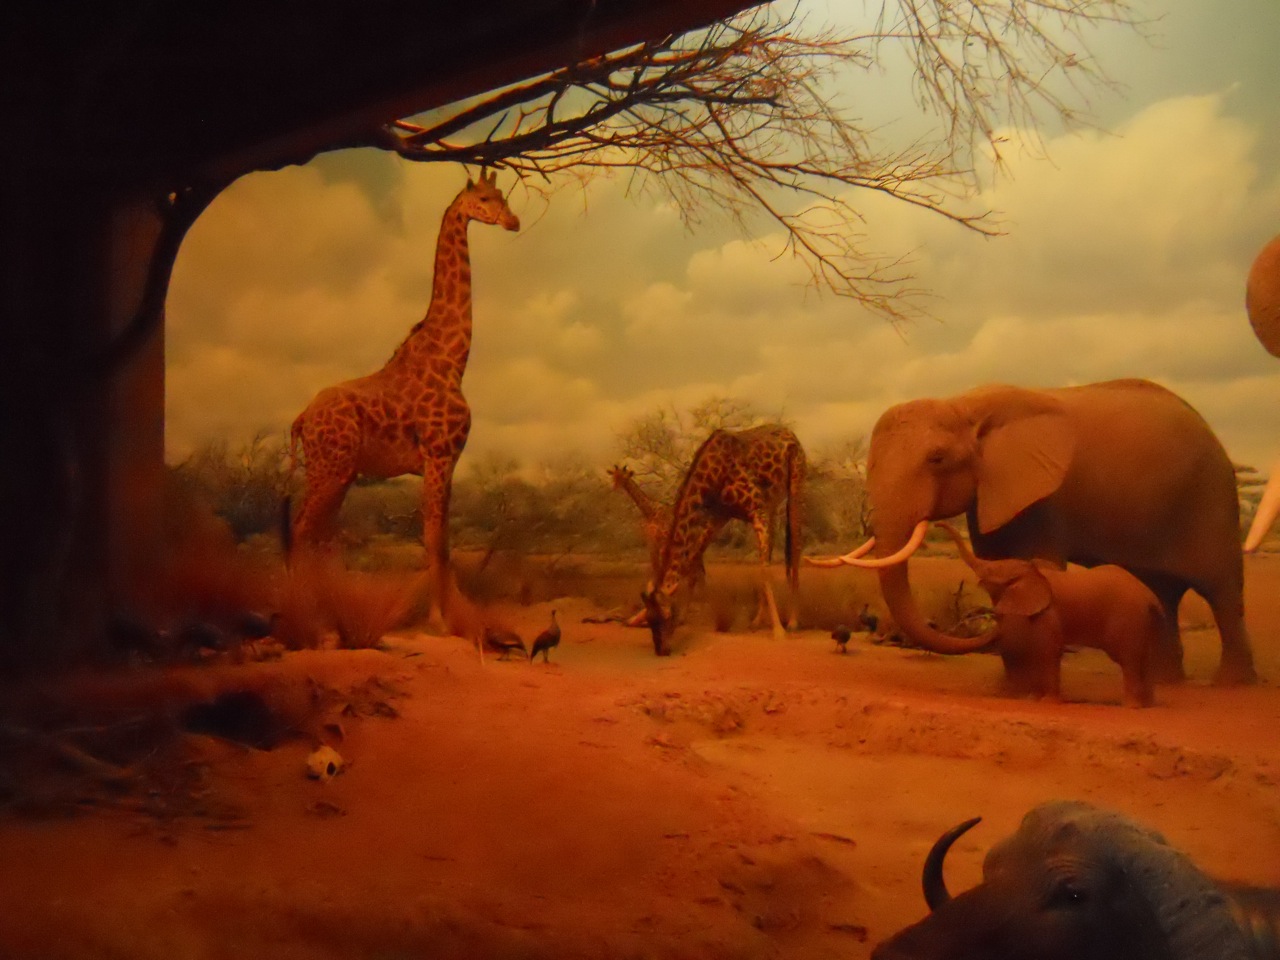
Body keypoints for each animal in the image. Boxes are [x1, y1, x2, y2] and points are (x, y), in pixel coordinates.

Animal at [289, 171, 519, 613]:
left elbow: (441, 539)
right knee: (303, 528)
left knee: (322, 533)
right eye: (484, 199)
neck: (451, 360)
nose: (513, 222)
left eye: (503, 196)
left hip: (340, 471)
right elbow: (433, 540)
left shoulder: (448, 460)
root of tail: (302, 416)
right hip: (330, 467)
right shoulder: (438, 454)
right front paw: (440, 617)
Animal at [639, 425, 806, 656]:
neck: (713, 475)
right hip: (771, 505)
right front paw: (684, 618)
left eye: (666, 616)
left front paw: (778, 632)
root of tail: (791, 434)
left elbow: (764, 571)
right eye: (649, 620)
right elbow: (694, 558)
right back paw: (757, 621)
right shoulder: (720, 515)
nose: (662, 650)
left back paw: (792, 622)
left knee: (795, 548)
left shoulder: (757, 508)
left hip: (795, 485)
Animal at [817, 378, 1255, 685]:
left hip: (1211, 495)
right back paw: (1167, 683)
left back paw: (1230, 686)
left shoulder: (1043, 497)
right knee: (1162, 591)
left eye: (937, 459)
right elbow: (998, 566)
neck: (963, 406)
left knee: (1221, 591)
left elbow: (1038, 566)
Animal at [935, 522, 1164, 707]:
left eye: (991, 572)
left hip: (1129, 617)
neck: (1031, 571)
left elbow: (1047, 650)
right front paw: (1033, 700)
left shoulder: (1049, 613)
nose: (937, 525)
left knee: (1128, 658)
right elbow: (1038, 650)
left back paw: (1131, 706)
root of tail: (1151, 597)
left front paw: (1047, 702)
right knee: (1147, 658)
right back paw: (1147, 704)